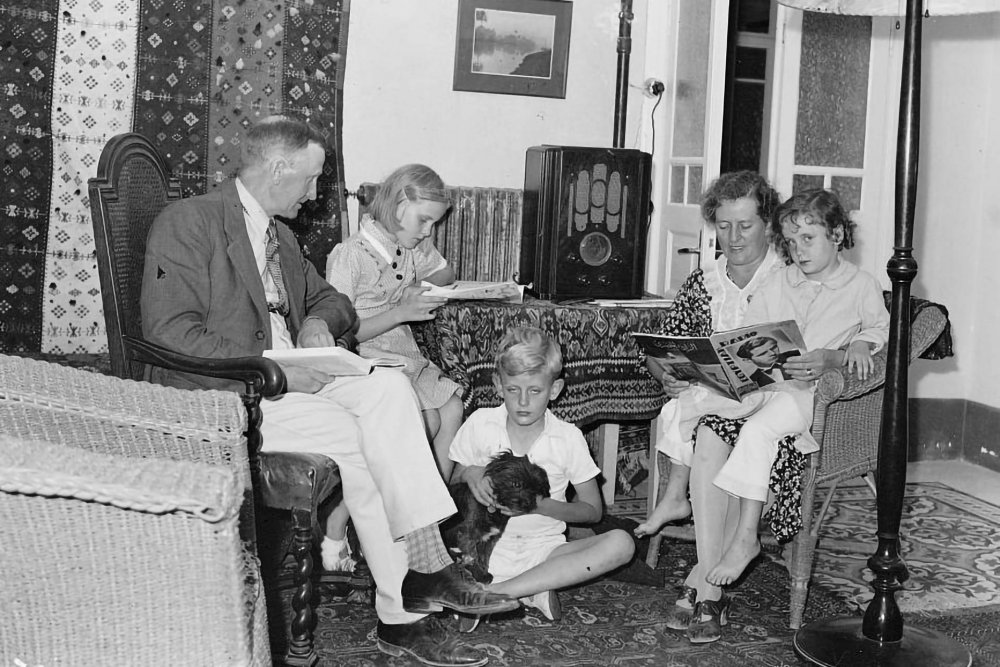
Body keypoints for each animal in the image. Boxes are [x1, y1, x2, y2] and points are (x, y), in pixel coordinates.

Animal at [446, 452, 556, 580]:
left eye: (535, 490)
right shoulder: (467, 536)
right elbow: (473, 557)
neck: (494, 510)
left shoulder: (489, 540)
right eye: (516, 484)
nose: (527, 503)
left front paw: (483, 572)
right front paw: (480, 576)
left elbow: (484, 558)